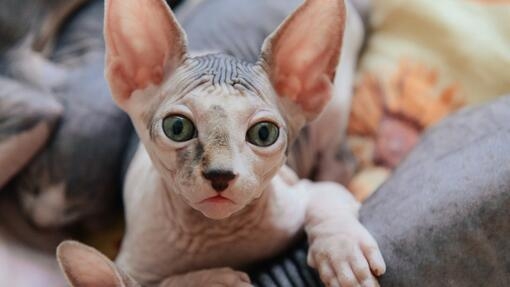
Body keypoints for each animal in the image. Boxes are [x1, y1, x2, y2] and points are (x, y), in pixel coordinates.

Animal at [57, 0, 384, 286]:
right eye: (177, 128)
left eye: (263, 134)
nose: (220, 175)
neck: (218, 234)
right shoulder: (132, 263)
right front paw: (211, 280)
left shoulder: (298, 194)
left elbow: (327, 197)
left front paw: (343, 252)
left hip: (334, 109)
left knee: (339, 160)